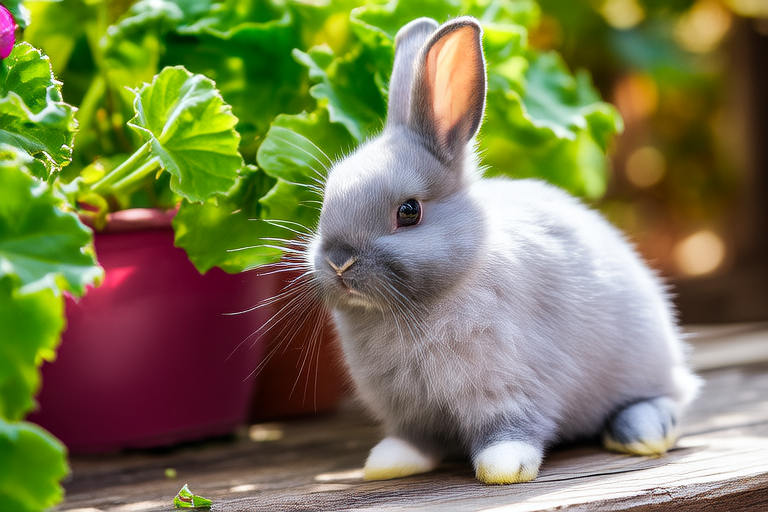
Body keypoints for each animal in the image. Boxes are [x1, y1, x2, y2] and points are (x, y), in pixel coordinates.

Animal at [302, 16, 700, 485]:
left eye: (408, 211)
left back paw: (643, 433)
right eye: (327, 197)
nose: (338, 260)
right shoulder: (409, 407)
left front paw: (503, 468)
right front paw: (387, 463)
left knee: (668, 398)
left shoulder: (511, 386)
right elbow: (415, 438)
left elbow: (511, 428)